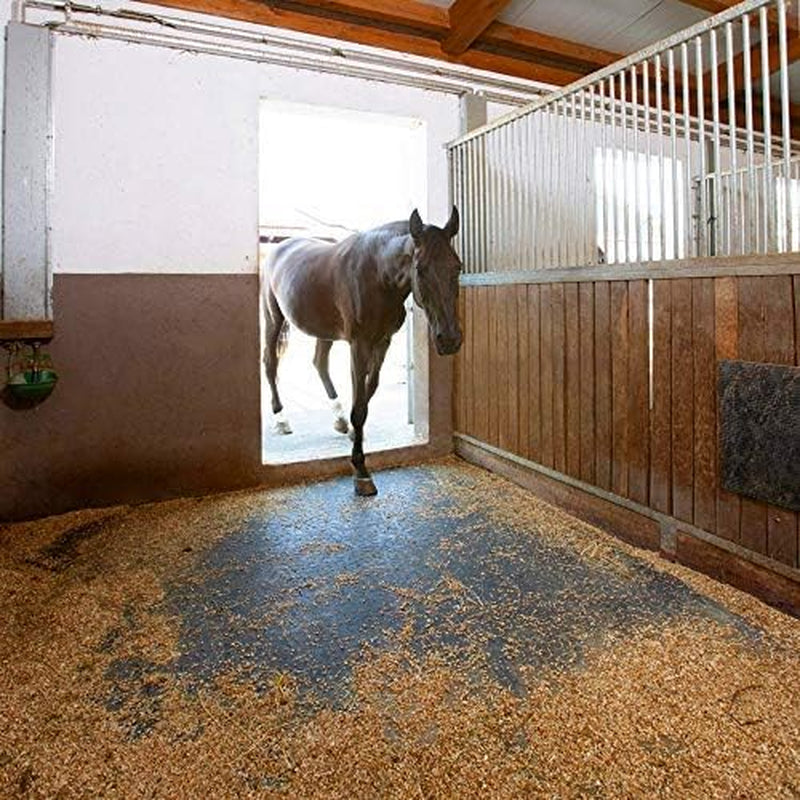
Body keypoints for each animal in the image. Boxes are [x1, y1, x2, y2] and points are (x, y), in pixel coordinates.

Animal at [262, 207, 463, 496]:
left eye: (457, 266)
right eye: (421, 269)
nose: (449, 340)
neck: (378, 275)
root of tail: (278, 249)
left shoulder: (383, 342)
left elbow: (368, 393)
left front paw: (353, 436)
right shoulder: (359, 345)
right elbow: (359, 406)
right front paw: (360, 471)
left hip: (324, 329)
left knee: (319, 363)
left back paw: (339, 419)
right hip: (273, 319)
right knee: (270, 363)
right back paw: (281, 419)